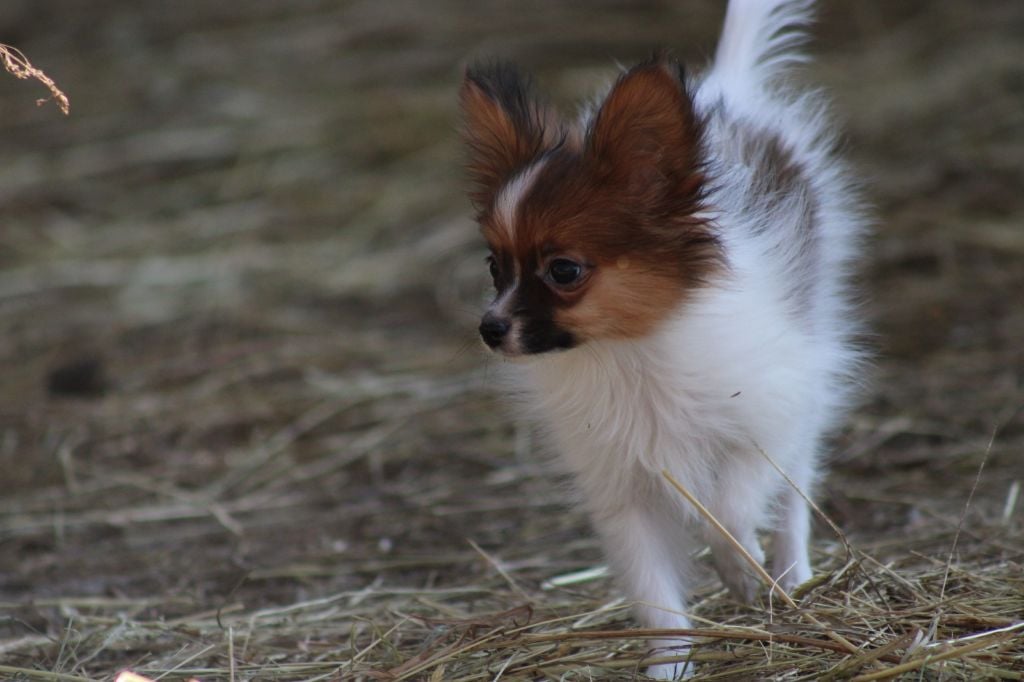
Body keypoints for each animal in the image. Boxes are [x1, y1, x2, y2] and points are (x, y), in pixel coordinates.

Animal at [462, 0, 864, 675]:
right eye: (495, 267)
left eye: (563, 271)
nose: (490, 329)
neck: (631, 352)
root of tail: (728, 90)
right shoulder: (623, 490)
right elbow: (655, 594)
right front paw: (670, 664)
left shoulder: (764, 422)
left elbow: (729, 513)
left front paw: (743, 572)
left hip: (808, 374)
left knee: (795, 491)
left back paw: (791, 574)